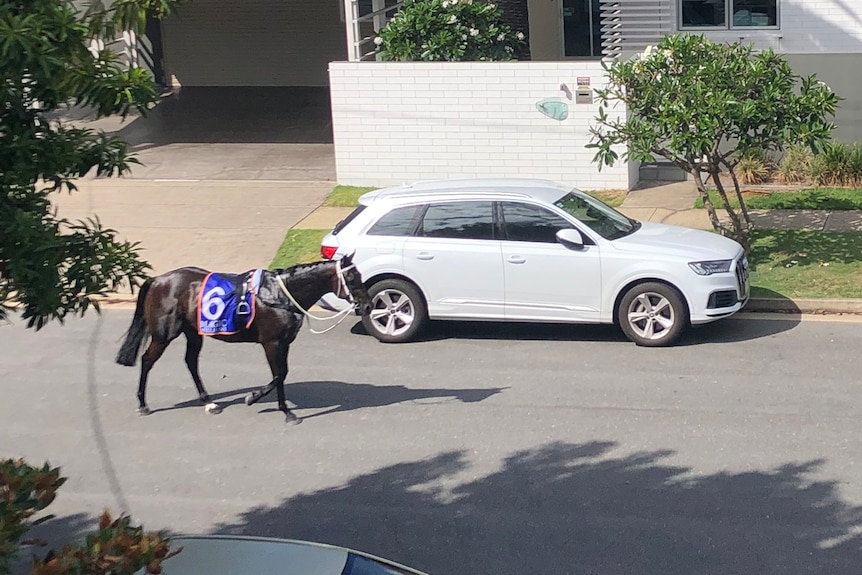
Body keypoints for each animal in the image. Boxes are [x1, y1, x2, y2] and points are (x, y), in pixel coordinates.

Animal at [115, 254, 372, 426]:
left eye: (359, 275)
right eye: (352, 277)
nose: (368, 305)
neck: (279, 295)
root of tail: (158, 280)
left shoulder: (285, 342)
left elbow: (282, 374)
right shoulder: (272, 342)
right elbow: (278, 374)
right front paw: (273, 406)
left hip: (194, 332)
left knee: (190, 362)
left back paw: (208, 402)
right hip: (164, 334)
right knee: (147, 360)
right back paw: (143, 404)